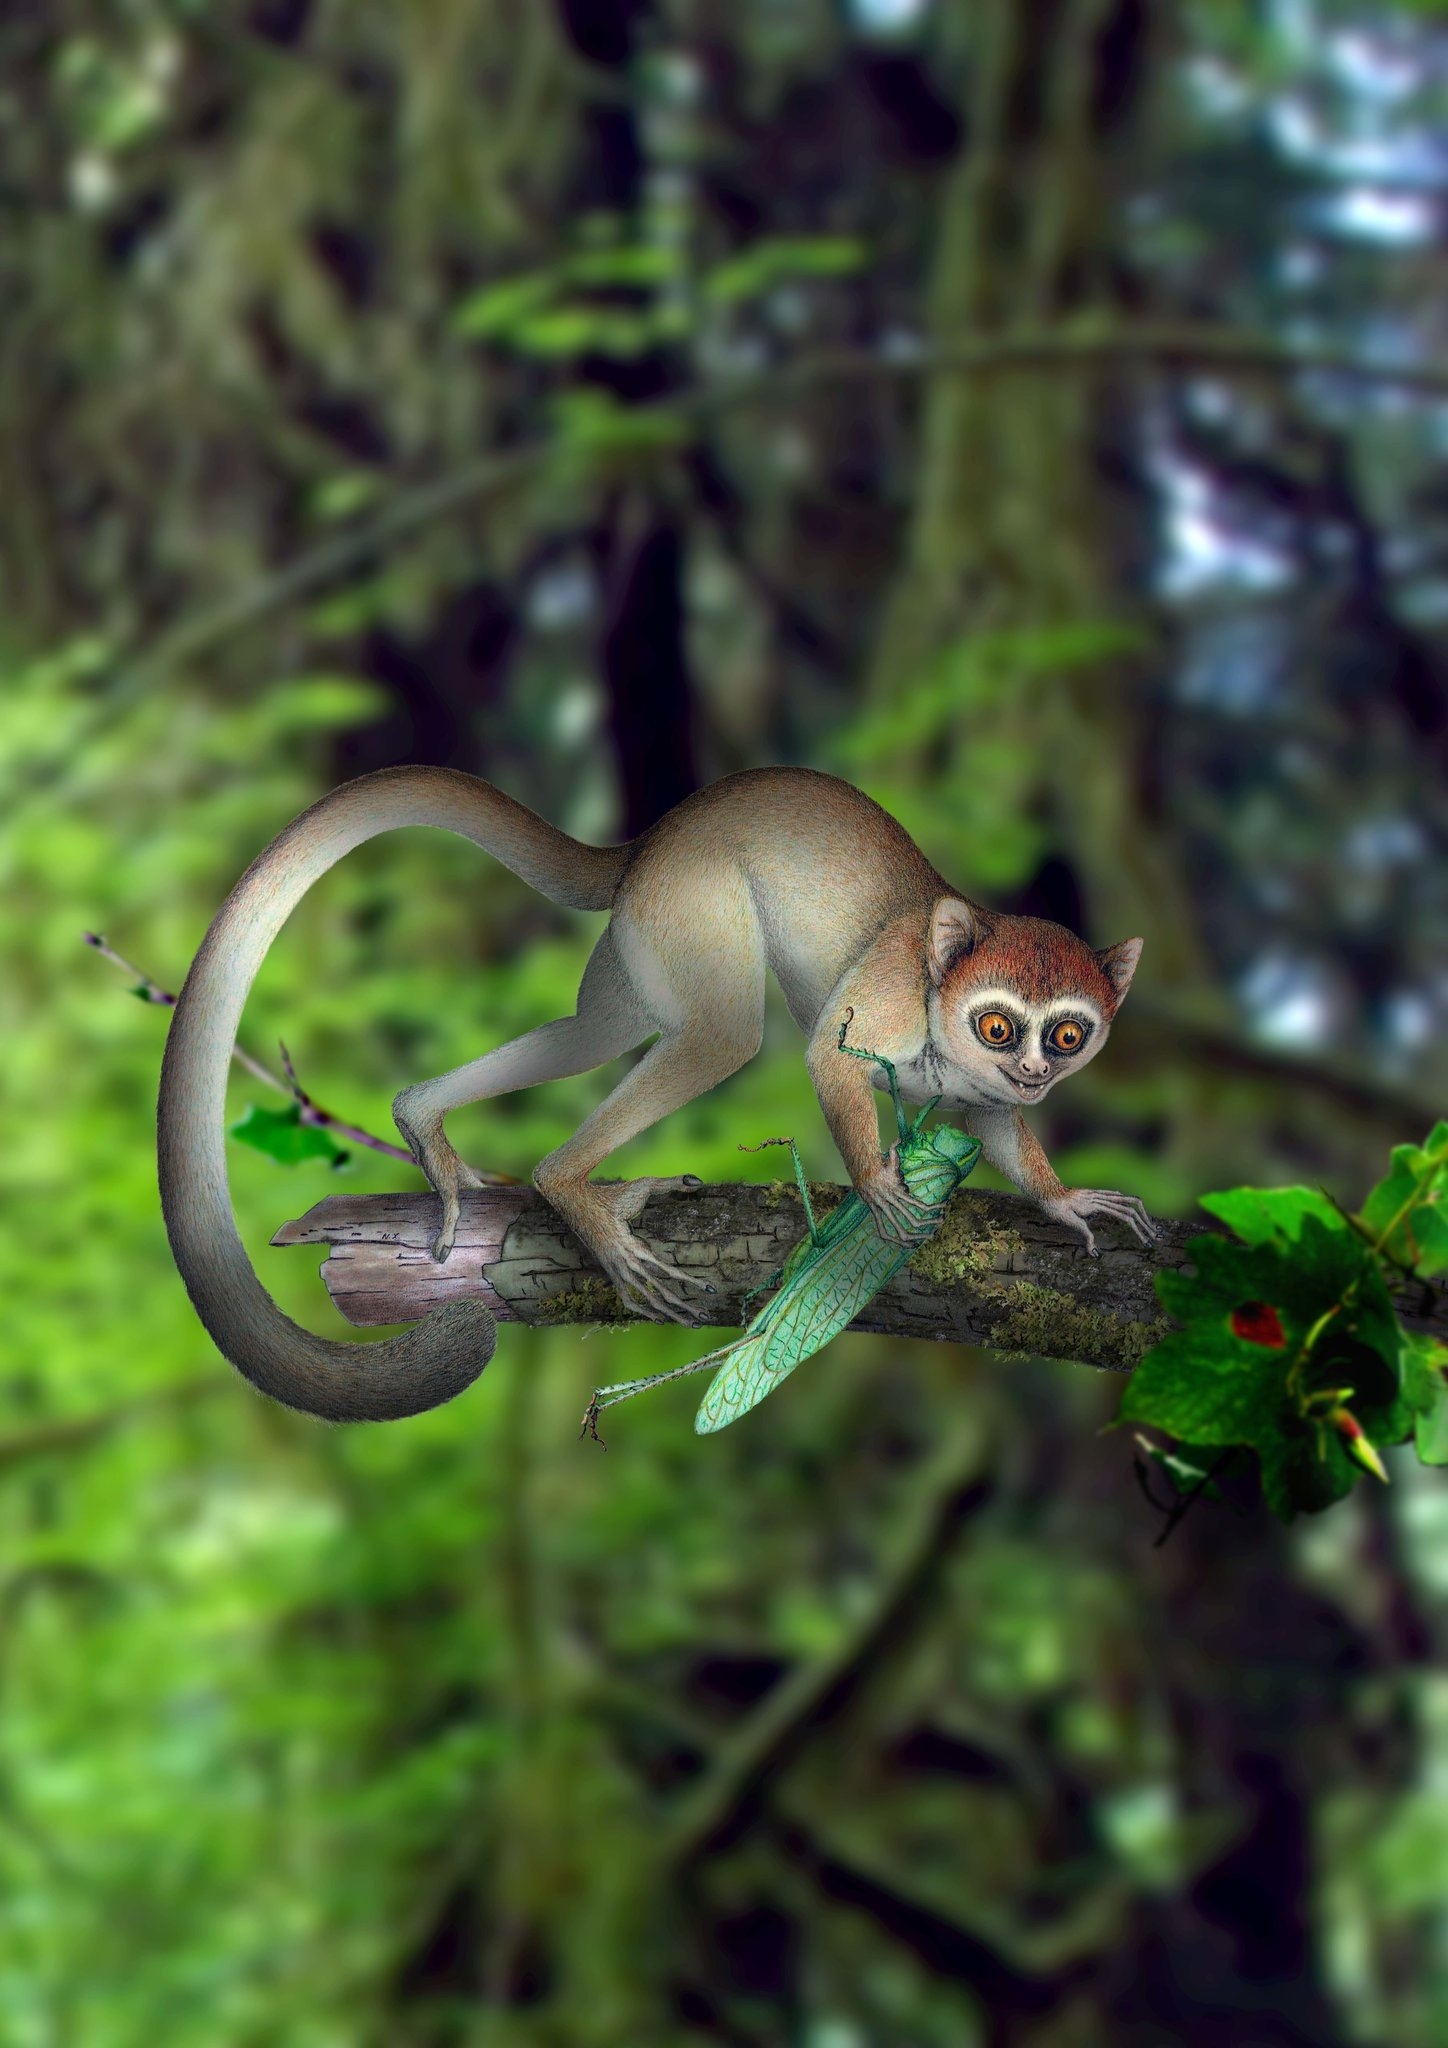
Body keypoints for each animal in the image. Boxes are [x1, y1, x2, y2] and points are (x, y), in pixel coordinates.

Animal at [158, 763, 1155, 1424]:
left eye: (1068, 1034)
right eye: (999, 1025)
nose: (1036, 1069)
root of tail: (657, 835)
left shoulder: (979, 1093)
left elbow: (991, 1124)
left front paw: (1066, 1202)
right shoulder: (891, 997)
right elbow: (830, 1064)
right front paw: (876, 1185)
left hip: (640, 936)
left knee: (600, 1030)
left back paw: (425, 1121)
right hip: (690, 903)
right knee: (720, 1035)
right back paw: (570, 1190)